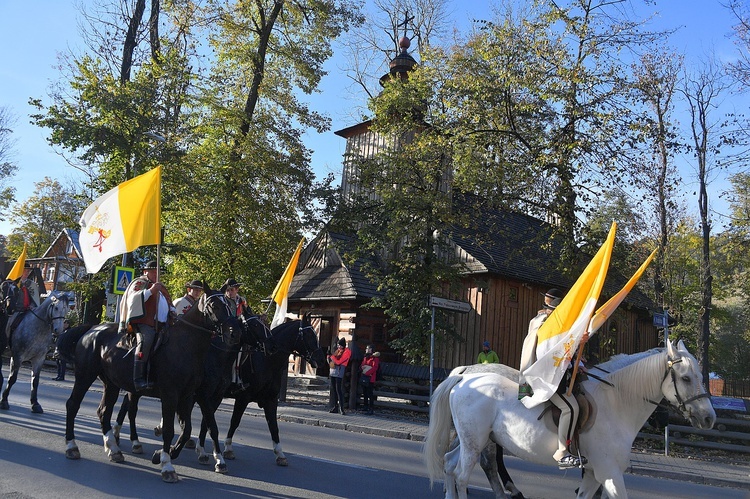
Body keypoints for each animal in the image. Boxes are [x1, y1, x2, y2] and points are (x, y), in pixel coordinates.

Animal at [58, 292, 241, 482]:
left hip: (112, 384)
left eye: (230, 305)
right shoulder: (172, 395)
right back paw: (72, 447)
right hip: (85, 376)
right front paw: (167, 464)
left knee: (104, 412)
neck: (187, 345)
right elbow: (170, 429)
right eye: (214, 305)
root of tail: (91, 329)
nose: (234, 333)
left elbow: (190, 429)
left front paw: (164, 453)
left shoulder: (188, 396)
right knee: (73, 405)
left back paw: (114, 449)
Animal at [216, 322, 324, 466]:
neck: (266, 360)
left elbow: (273, 426)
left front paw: (280, 454)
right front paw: (228, 448)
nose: (321, 359)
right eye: (308, 334)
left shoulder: (271, 401)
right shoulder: (243, 398)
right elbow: (235, 421)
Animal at [426, 342, 720, 499]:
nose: (709, 418)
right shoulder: (609, 472)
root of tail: (464, 376)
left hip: (471, 440)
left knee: (450, 465)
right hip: (474, 443)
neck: (616, 402)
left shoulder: (592, 473)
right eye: (686, 378)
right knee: (464, 474)